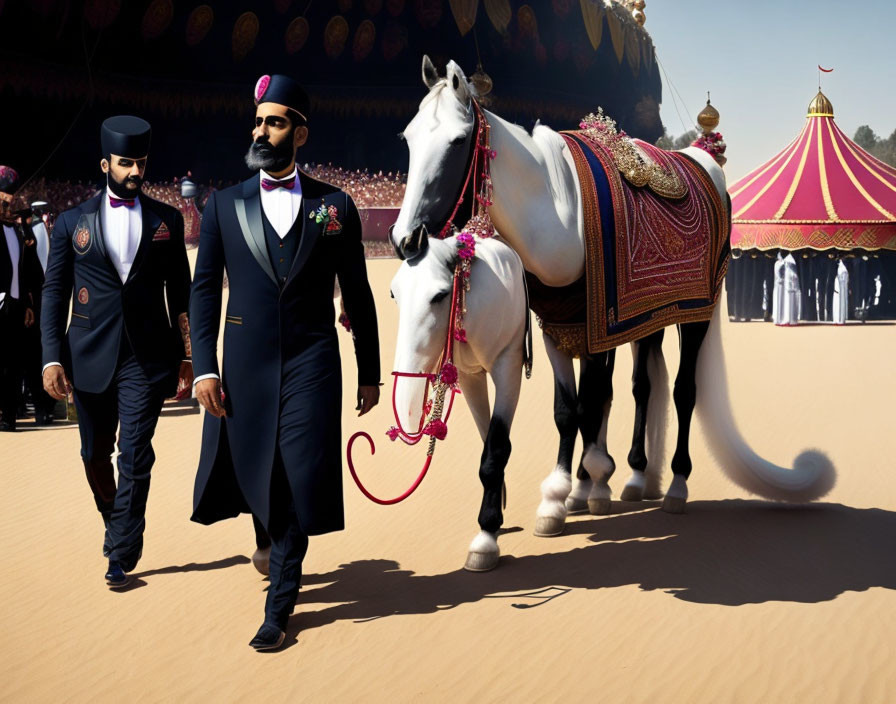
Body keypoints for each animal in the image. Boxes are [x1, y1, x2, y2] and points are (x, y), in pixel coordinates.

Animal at [390, 234, 528, 568]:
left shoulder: (509, 361)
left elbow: (497, 447)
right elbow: (486, 439)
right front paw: (497, 508)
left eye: (440, 296)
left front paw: (486, 537)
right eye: (393, 294)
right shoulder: (469, 373)